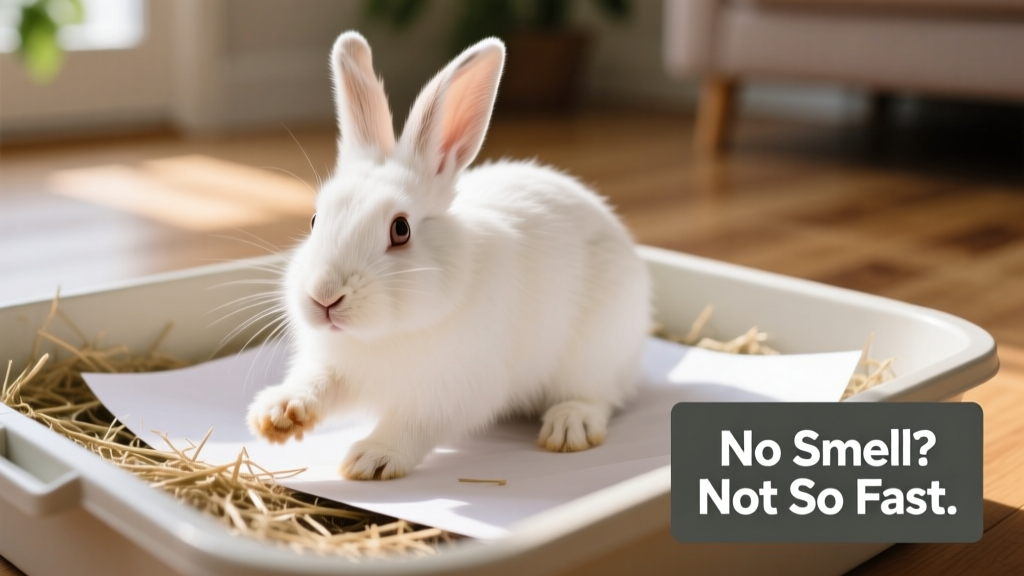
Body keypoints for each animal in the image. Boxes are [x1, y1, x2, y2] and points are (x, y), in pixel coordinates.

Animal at [246, 31, 651, 481]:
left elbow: (411, 426)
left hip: (595, 352)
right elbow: (318, 384)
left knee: (602, 395)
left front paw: (371, 457)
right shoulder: (337, 368)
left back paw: (569, 426)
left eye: (400, 229)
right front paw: (278, 414)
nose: (324, 297)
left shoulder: (452, 392)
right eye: (316, 220)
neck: (382, 335)